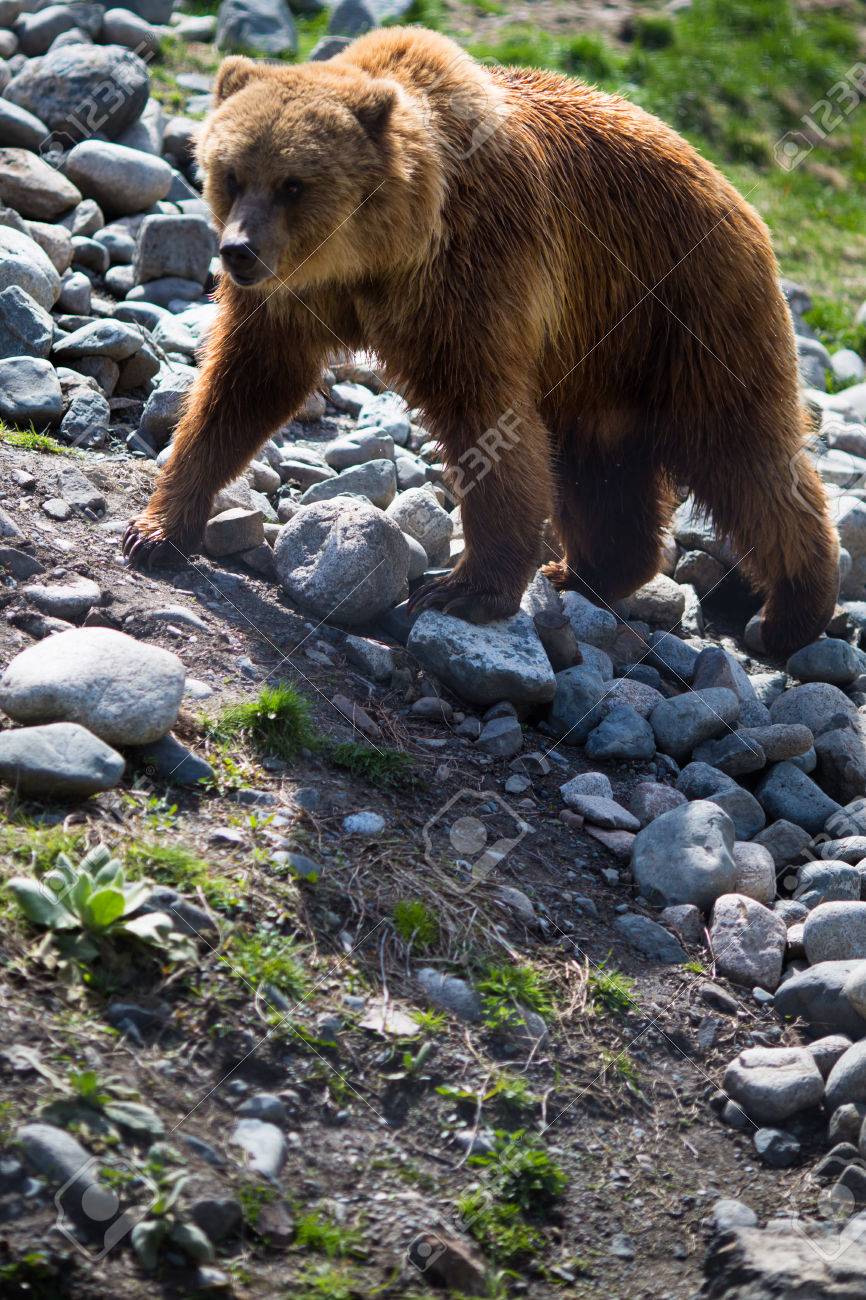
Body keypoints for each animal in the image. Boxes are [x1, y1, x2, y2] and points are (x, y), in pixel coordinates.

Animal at [124, 26, 839, 658]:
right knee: (601, 465)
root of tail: (733, 191)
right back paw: (589, 572)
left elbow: (488, 421)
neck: (377, 255)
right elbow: (240, 390)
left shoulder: (472, 279)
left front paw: (464, 590)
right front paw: (157, 529)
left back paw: (792, 612)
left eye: (293, 184)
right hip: (599, 358)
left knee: (741, 450)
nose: (238, 251)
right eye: (230, 173)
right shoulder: (290, 301)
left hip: (684, 312)